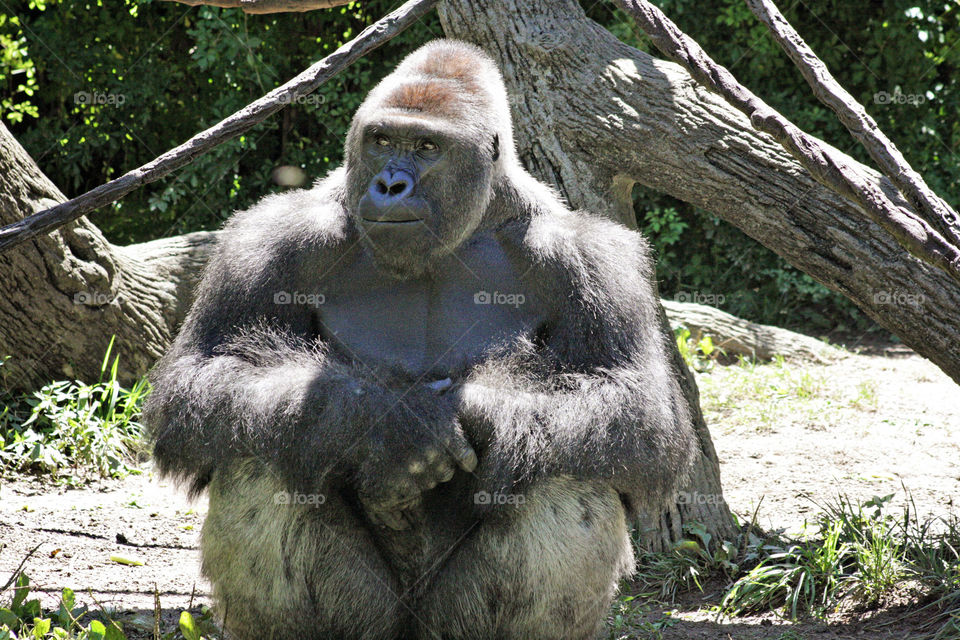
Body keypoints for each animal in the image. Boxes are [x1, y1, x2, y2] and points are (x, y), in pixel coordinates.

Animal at [144, 39, 696, 640]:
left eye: (428, 147)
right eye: (381, 141)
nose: (390, 185)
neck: (476, 219)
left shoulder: (593, 257)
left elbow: (639, 411)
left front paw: (478, 412)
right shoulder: (266, 239)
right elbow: (202, 379)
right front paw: (389, 425)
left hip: (449, 621)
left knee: (564, 465)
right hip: (374, 620)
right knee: (259, 452)